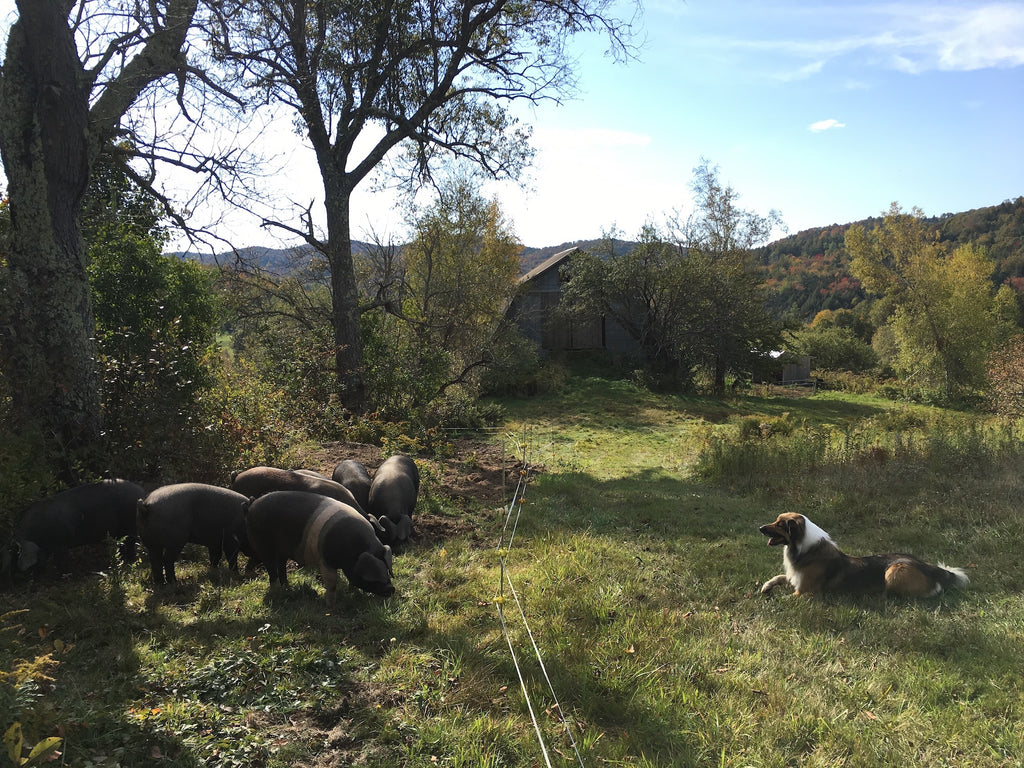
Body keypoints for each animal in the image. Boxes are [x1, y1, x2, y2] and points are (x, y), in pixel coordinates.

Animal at [14, 479, 145, 573]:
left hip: (130, 525)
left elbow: (60, 560)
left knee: (130, 542)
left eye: (15, 554)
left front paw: (63, 574)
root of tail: (142, 493)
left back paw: (130, 561)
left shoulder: (61, 544)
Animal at [243, 493, 395, 606]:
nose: (391, 588)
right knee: (271, 570)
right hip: (263, 546)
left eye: (387, 571)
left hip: (282, 551)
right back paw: (277, 592)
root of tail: (251, 506)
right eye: (373, 576)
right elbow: (332, 582)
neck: (354, 551)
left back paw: (287, 588)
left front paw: (352, 591)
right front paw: (331, 606)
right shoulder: (325, 561)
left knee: (281, 568)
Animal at [761, 514, 966, 598]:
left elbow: (787, 598)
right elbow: (780, 576)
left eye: (780, 524)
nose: (760, 528)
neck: (805, 548)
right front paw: (766, 586)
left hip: (894, 571)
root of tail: (930, 567)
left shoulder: (805, 592)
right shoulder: (795, 577)